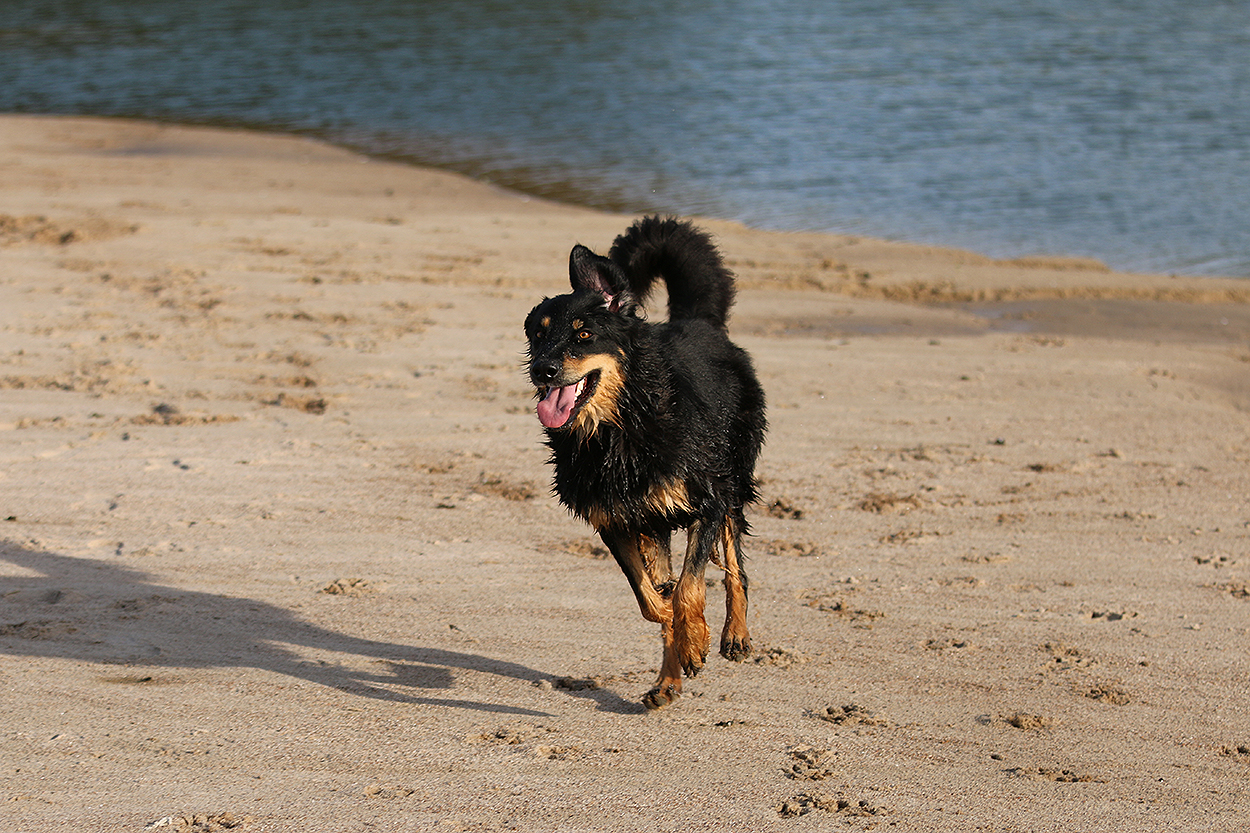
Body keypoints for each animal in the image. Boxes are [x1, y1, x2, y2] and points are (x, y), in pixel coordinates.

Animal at [524, 216, 767, 708]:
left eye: (583, 334)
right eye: (537, 335)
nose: (542, 370)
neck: (619, 428)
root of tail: (699, 324)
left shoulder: (707, 501)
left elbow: (690, 588)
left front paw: (696, 641)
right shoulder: (614, 519)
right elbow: (652, 601)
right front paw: (680, 638)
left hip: (732, 476)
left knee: (736, 565)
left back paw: (734, 634)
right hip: (653, 522)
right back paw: (667, 681)